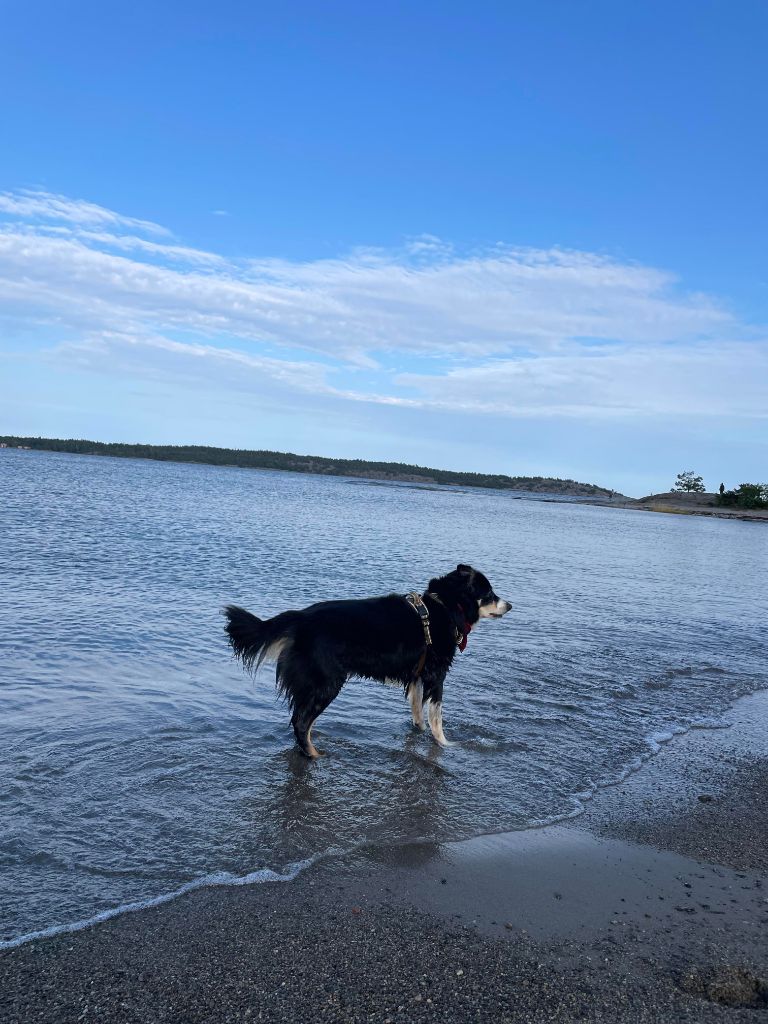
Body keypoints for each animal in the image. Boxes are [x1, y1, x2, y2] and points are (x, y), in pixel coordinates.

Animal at [222, 565, 512, 757]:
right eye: (489, 593)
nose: (509, 605)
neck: (445, 607)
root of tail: (301, 617)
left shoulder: (417, 676)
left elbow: (418, 713)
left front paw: (419, 733)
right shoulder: (436, 676)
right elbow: (437, 718)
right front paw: (446, 745)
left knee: (301, 721)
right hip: (326, 682)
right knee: (301, 722)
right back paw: (314, 755)